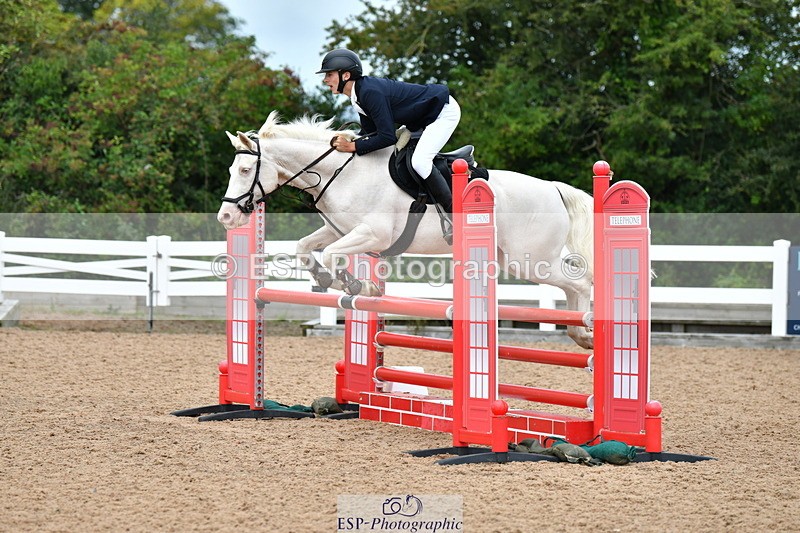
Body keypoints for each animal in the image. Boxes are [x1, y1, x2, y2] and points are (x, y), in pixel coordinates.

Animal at [217, 111, 595, 349]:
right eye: (233, 170)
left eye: (246, 170)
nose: (226, 217)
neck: (340, 172)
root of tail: (553, 188)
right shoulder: (339, 230)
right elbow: (305, 247)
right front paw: (329, 280)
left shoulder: (373, 234)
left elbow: (334, 255)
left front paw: (358, 285)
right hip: (513, 258)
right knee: (573, 285)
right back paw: (582, 335)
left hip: (527, 259)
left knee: (579, 282)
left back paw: (587, 331)